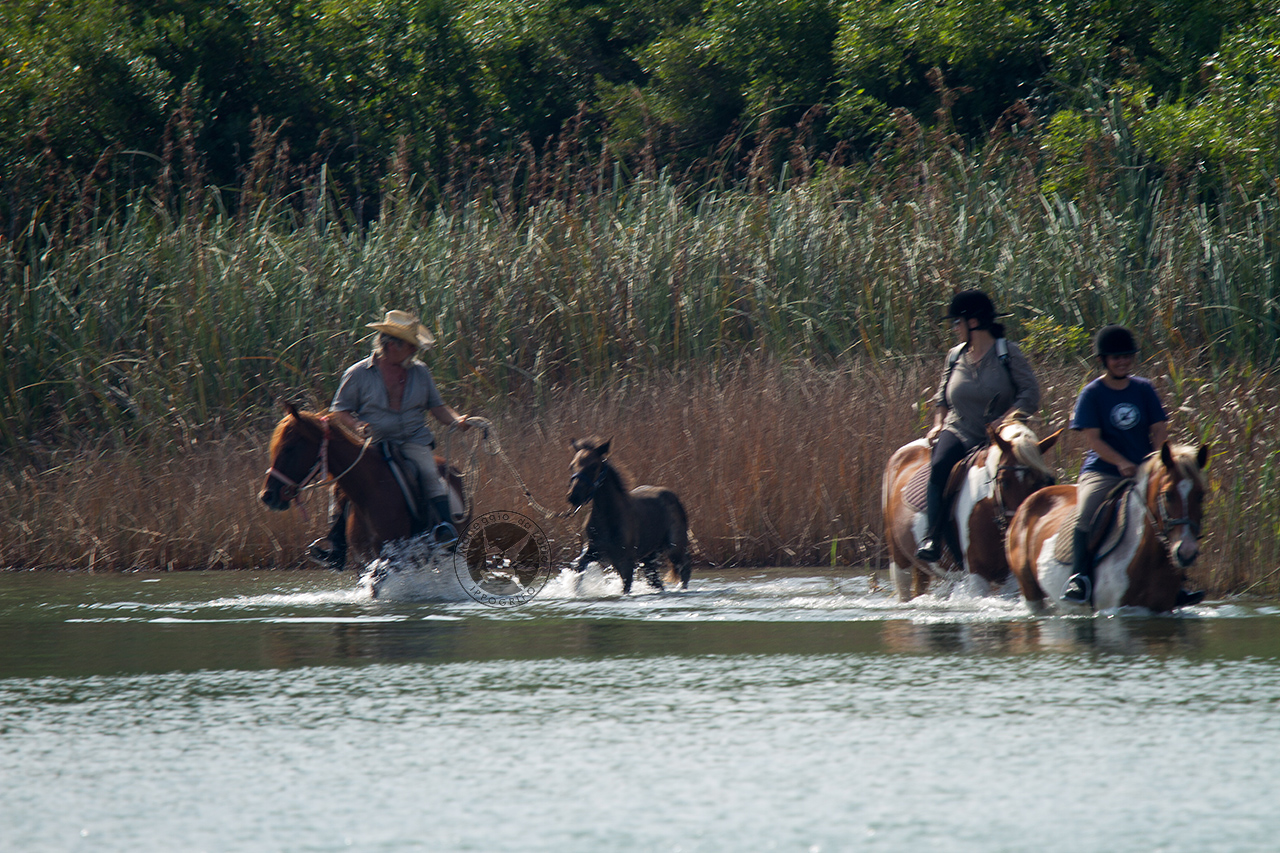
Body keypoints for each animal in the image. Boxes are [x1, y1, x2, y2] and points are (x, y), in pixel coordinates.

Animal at [568, 435, 696, 594]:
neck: (608, 517)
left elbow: (626, 587)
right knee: (657, 582)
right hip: (649, 558)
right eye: (572, 465)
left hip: (675, 547)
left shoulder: (625, 562)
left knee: (685, 569)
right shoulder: (594, 551)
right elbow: (579, 568)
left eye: (593, 466)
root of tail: (673, 496)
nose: (573, 496)